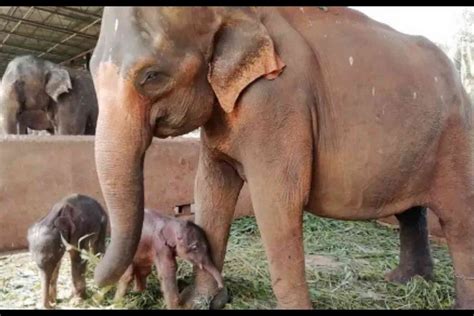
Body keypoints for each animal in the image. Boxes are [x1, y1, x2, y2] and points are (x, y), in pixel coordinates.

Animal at [89, 6, 474, 308]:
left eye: (151, 76)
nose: (93, 286)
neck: (235, 12)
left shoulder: (277, 101)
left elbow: (277, 201)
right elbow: (211, 189)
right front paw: (201, 302)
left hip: (458, 139)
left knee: (458, 222)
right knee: (412, 211)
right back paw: (405, 282)